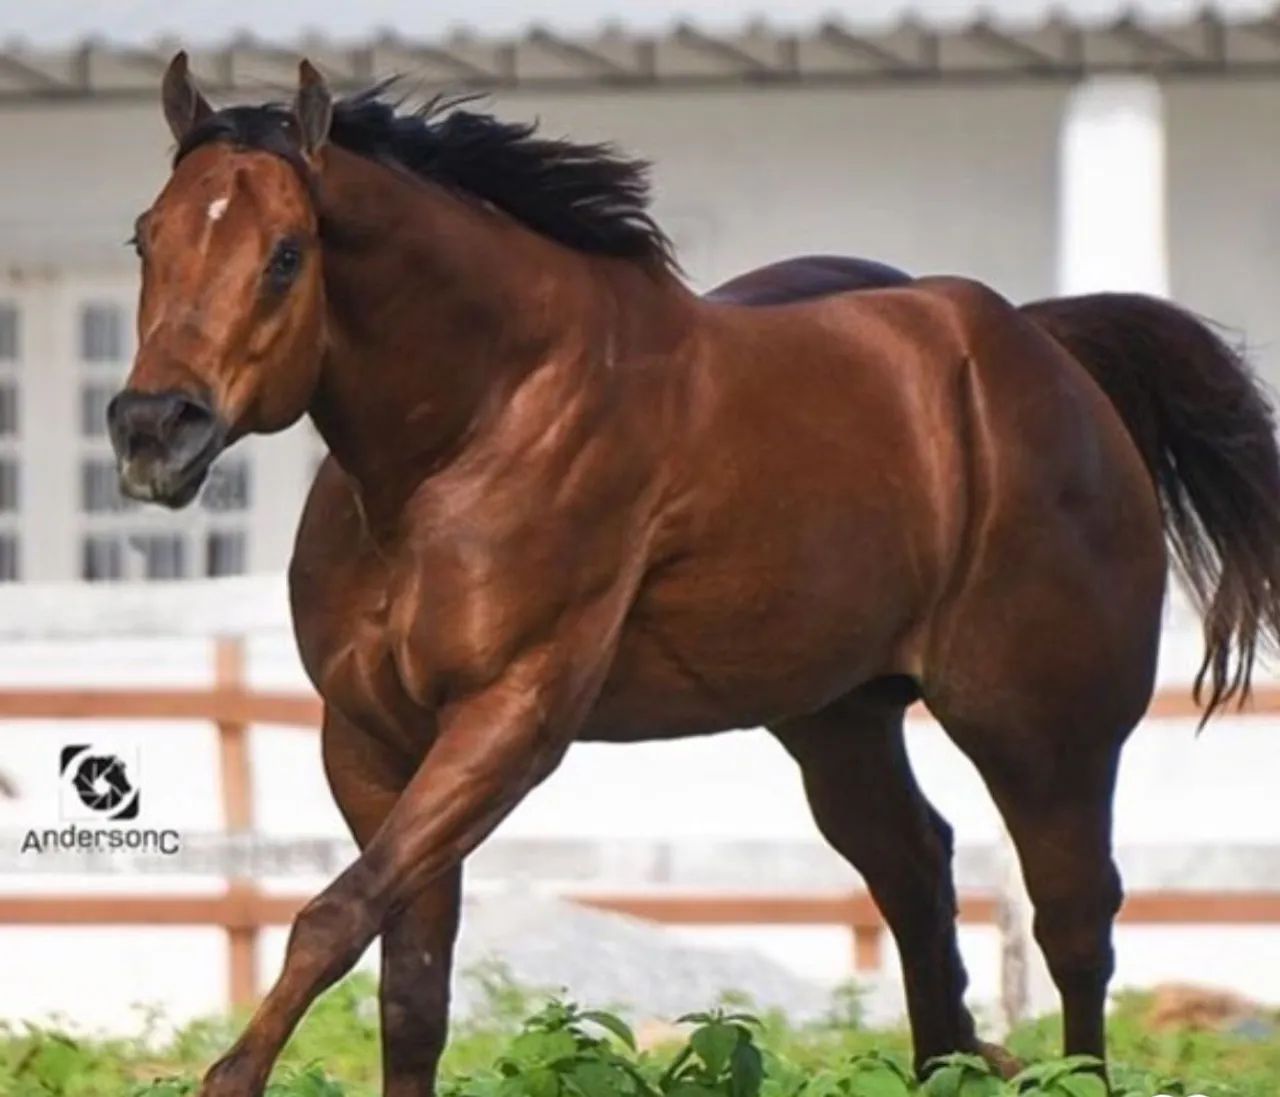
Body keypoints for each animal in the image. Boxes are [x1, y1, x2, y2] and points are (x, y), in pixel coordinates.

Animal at [107, 54, 1280, 1097]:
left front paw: (226, 1077)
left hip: (1043, 731)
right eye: (145, 237)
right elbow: (408, 985)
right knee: (917, 880)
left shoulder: (508, 718)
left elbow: (332, 918)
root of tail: (1047, 351)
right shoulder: (368, 738)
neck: (471, 427)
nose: (152, 429)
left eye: (286, 253)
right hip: (840, 722)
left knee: (1073, 923)